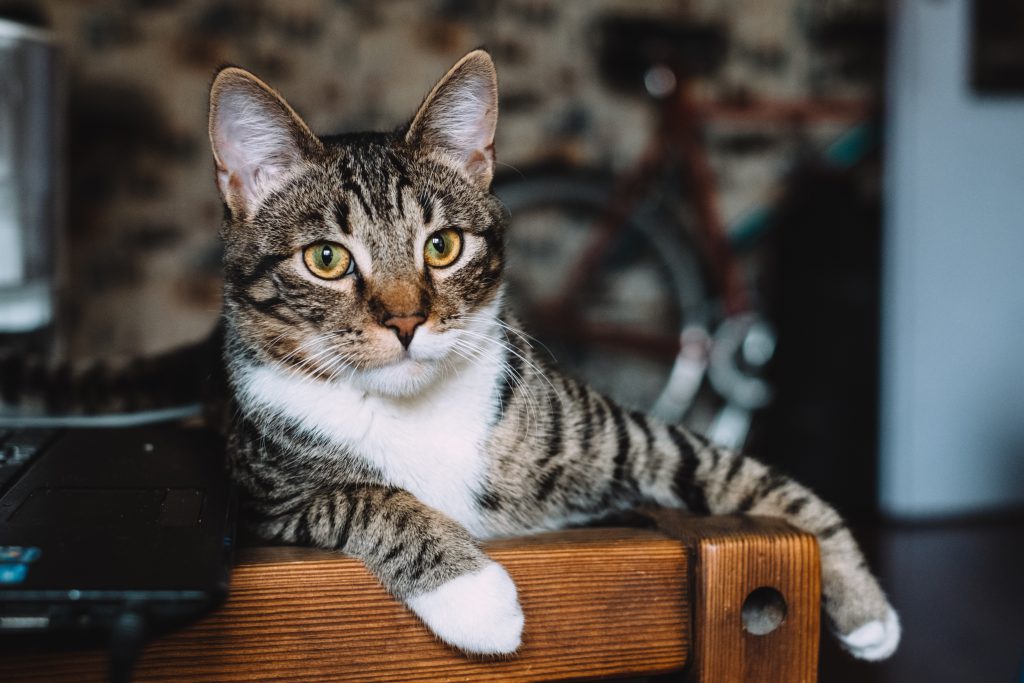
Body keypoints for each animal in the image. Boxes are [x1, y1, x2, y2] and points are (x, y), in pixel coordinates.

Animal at [0, 48, 901, 663]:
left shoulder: (625, 435)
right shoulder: (267, 497)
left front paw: (865, 604)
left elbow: (750, 474)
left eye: (442, 245)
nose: (406, 319)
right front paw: (476, 595)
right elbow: (367, 496)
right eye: (325, 259)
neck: (413, 406)